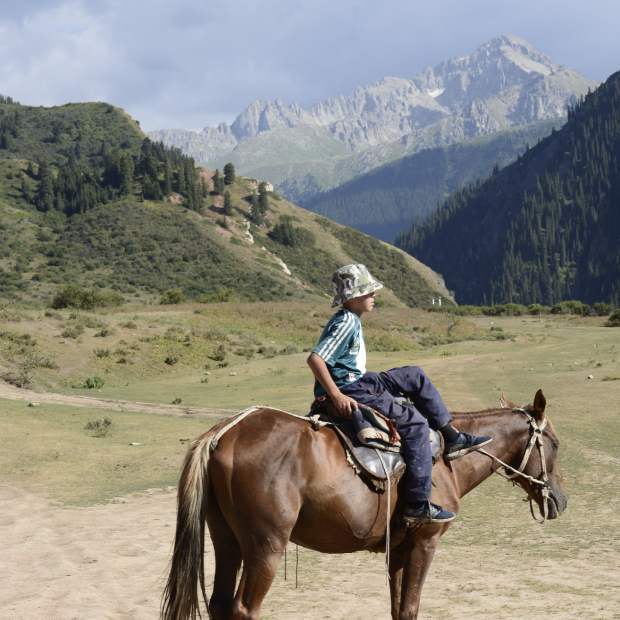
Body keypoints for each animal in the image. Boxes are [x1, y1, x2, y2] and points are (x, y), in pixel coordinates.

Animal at [162, 390, 568, 616]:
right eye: (556, 443)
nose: (561, 500)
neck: (449, 458)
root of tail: (223, 432)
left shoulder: (400, 548)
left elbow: (398, 608)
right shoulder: (425, 542)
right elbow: (411, 607)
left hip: (227, 541)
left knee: (219, 604)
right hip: (266, 546)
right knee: (244, 609)